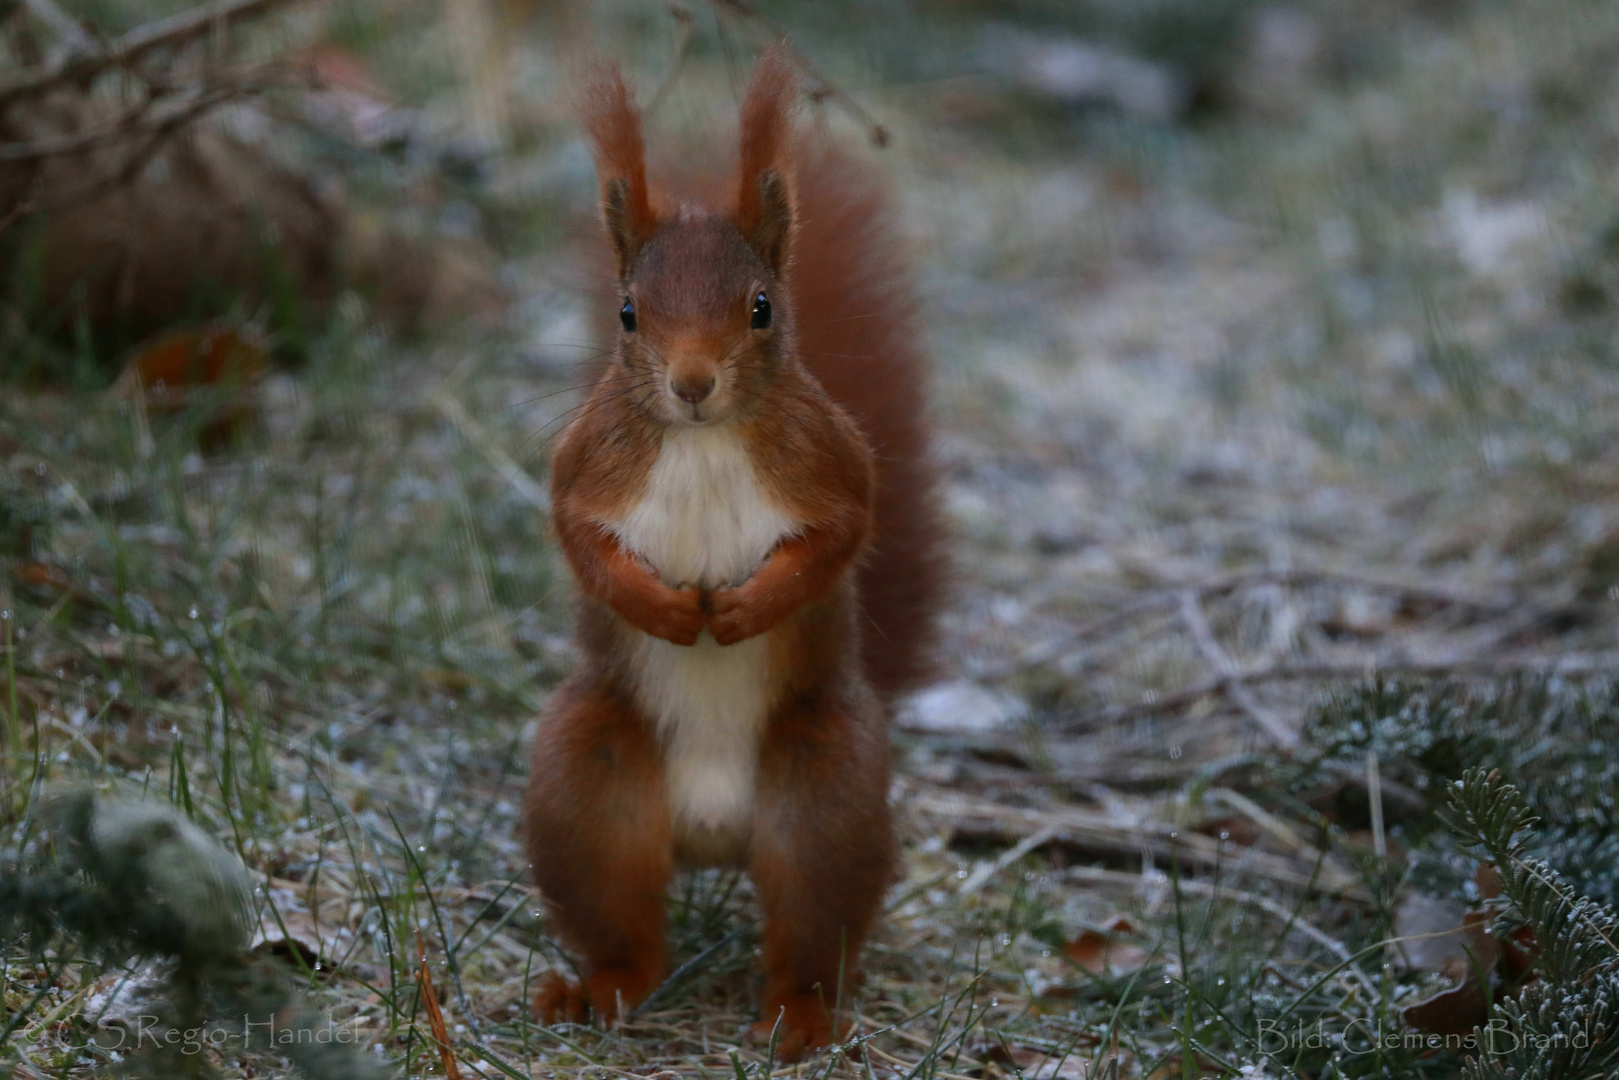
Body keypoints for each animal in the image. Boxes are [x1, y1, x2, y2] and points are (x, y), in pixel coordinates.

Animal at [524, 46, 945, 1062]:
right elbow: (579, 540)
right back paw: (597, 991)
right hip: (587, 784)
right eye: (627, 313)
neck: (704, 440)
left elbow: (840, 537)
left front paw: (747, 608)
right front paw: (666, 609)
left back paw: (799, 1019)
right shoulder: (580, 469)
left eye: (760, 309)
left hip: (824, 790)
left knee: (811, 926)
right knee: (624, 925)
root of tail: (713, 830)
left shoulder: (837, 466)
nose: (691, 384)